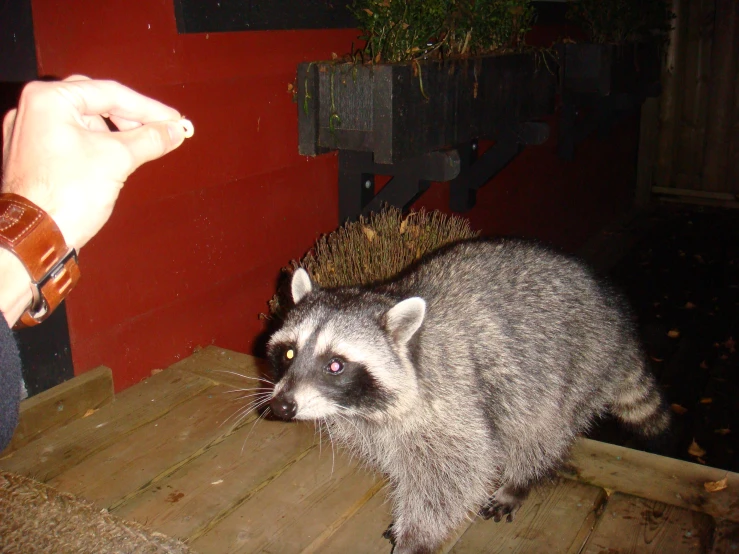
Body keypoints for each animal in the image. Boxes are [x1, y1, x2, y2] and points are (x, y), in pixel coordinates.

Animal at [268, 237, 672, 552]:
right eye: (288, 354)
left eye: (335, 365)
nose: (282, 406)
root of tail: (615, 311)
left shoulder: (451, 399)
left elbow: (455, 473)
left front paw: (417, 535)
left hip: (579, 362)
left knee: (542, 429)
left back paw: (521, 478)